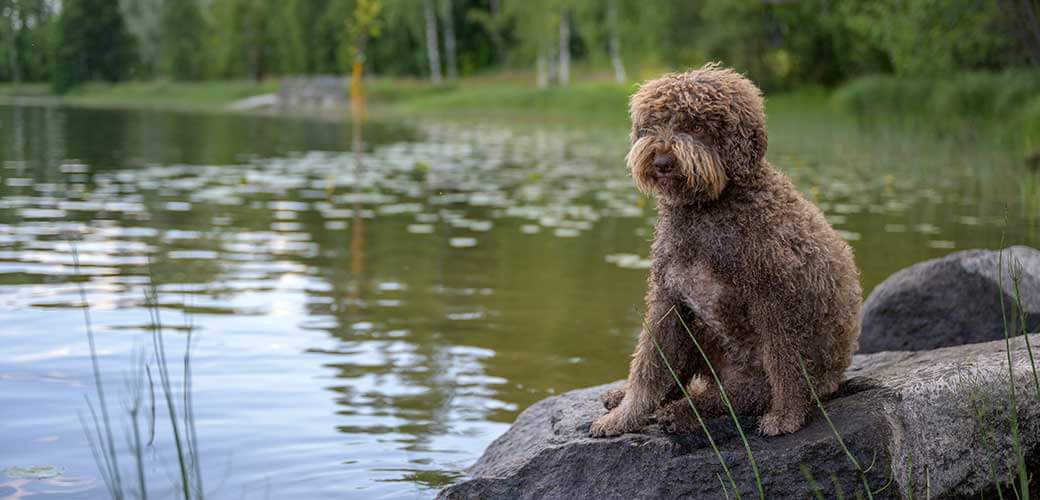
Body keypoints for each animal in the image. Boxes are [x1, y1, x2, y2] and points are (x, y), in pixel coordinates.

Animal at [594, 63, 861, 436]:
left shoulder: (775, 300)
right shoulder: (669, 300)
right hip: (699, 327)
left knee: (730, 398)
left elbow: (785, 363)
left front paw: (787, 417)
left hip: (750, 379)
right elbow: (648, 365)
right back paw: (631, 397)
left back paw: (682, 412)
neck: (706, 211)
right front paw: (623, 416)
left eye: (695, 125)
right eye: (654, 124)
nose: (661, 161)